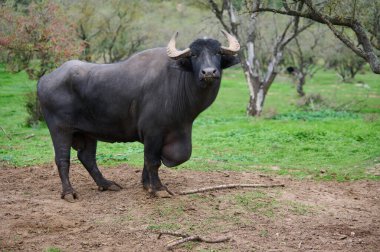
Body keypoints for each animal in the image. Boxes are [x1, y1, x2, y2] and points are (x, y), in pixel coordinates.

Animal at [38, 30, 240, 202]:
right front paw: (158, 189)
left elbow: (149, 159)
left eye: (218, 53)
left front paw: (146, 185)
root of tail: (44, 79)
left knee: (87, 157)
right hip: (60, 129)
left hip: (88, 132)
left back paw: (107, 184)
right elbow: (152, 161)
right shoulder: (153, 131)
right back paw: (69, 192)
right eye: (194, 55)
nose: (209, 72)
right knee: (62, 159)